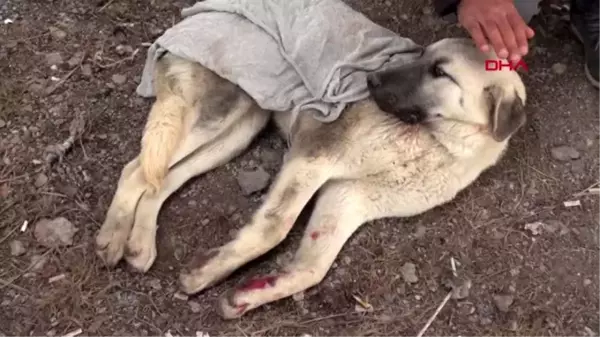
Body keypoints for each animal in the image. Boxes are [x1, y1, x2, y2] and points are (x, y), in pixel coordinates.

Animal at [94, 36, 524, 318]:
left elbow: (312, 268)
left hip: (237, 131)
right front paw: (209, 272)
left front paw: (249, 295)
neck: (437, 143)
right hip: (220, 114)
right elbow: (274, 227)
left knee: (162, 178)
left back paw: (139, 244)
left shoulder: (348, 198)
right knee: (135, 170)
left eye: (439, 72)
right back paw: (113, 237)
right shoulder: (313, 157)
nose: (370, 81)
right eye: (420, 54)